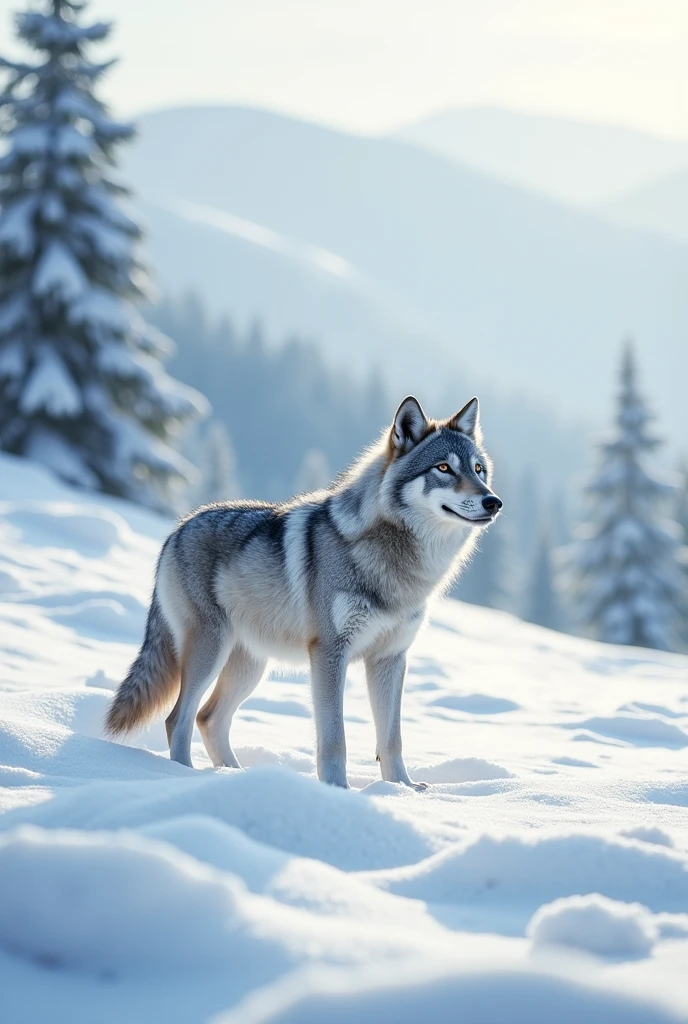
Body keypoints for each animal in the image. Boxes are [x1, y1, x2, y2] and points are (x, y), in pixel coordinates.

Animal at [105, 395, 499, 786]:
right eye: (444, 468)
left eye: (478, 470)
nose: (493, 502)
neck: (398, 566)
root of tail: (178, 528)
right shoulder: (328, 653)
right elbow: (335, 739)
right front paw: (338, 790)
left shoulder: (390, 658)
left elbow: (392, 739)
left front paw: (402, 789)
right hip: (210, 651)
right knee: (178, 718)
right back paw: (186, 778)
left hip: (250, 667)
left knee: (208, 718)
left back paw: (236, 776)